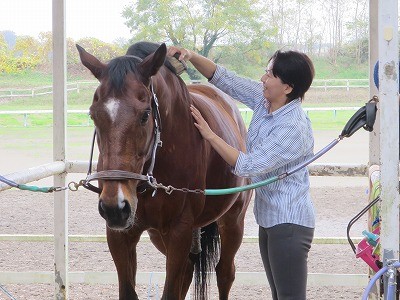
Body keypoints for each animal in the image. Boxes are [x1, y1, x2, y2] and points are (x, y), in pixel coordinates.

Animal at [76, 41, 252, 298]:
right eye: (93, 115)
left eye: (145, 115)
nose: (115, 206)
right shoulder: (120, 234)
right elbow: (129, 291)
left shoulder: (179, 231)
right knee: (188, 270)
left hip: (233, 220)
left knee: (225, 273)